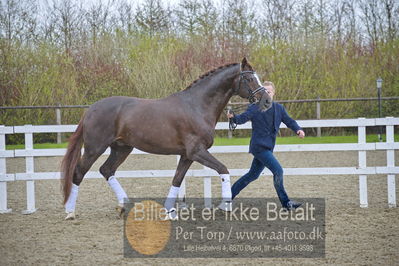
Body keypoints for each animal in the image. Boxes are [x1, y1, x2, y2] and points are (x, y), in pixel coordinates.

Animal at [61, 57, 272, 219]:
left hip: (121, 148)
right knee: (78, 173)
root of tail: (91, 109)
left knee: (106, 170)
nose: (267, 101)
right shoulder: (197, 152)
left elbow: (177, 180)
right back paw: (70, 212)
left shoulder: (187, 155)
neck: (197, 106)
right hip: (94, 148)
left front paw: (170, 212)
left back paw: (124, 206)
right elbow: (223, 169)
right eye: (250, 78)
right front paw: (226, 206)